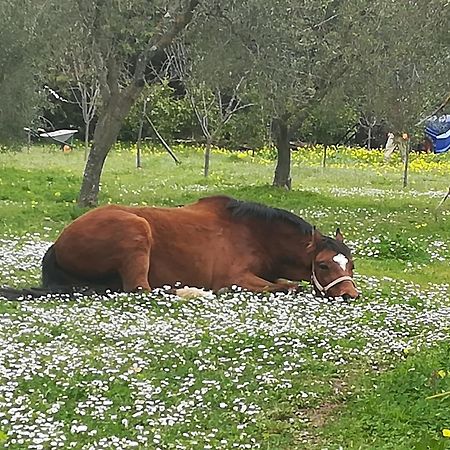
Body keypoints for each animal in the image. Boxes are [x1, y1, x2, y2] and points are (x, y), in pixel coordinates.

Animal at [0, 196, 358, 298]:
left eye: (350, 265)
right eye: (323, 264)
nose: (350, 295)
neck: (253, 234)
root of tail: (59, 242)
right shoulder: (235, 279)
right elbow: (285, 286)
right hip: (136, 231)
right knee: (141, 290)